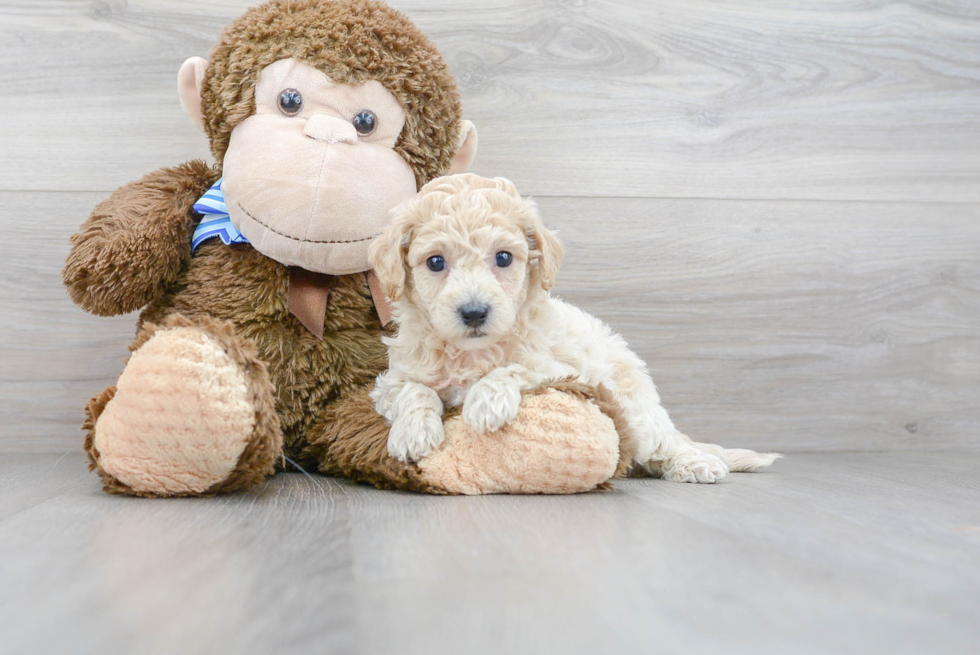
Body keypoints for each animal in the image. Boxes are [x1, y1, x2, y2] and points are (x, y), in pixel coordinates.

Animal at [368, 174, 780, 482]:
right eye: (435, 262)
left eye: (504, 257)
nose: (474, 312)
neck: (472, 353)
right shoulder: (393, 378)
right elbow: (415, 390)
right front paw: (413, 432)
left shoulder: (558, 368)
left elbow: (516, 368)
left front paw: (486, 401)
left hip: (637, 413)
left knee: (663, 445)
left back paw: (696, 463)